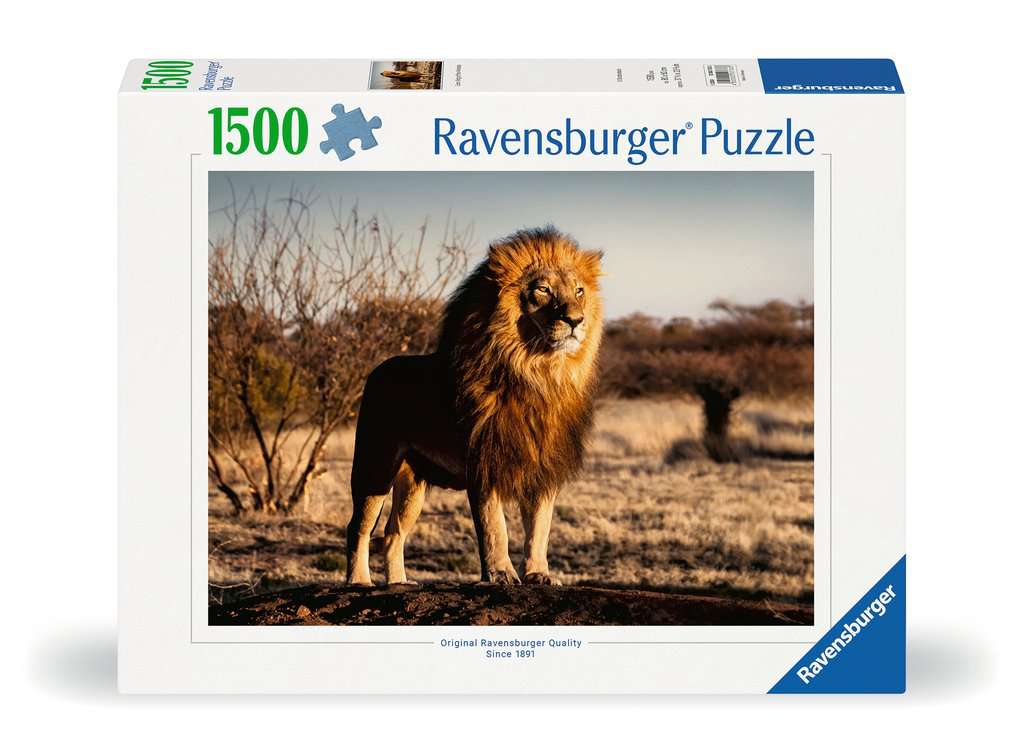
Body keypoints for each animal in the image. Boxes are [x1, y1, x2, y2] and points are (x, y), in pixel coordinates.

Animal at [345, 227, 604, 586]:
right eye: (543, 289)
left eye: (579, 291)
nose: (576, 320)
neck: (538, 374)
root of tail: (378, 369)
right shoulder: (484, 462)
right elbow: (495, 527)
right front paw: (500, 574)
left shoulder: (543, 466)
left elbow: (539, 528)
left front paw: (538, 573)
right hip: (375, 466)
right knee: (359, 527)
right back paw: (358, 581)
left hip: (413, 484)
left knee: (393, 533)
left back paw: (398, 583)